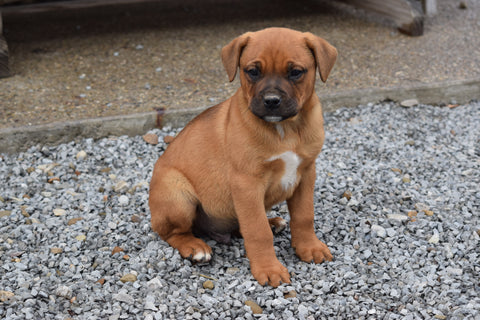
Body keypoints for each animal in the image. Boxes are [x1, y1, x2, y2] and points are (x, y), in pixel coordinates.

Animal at [150, 28, 338, 288]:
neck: (285, 129)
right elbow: (258, 231)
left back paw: (273, 222)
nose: (271, 101)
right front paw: (268, 269)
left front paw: (309, 247)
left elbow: (304, 216)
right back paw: (195, 247)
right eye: (253, 71)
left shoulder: (306, 173)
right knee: (171, 232)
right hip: (177, 193)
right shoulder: (247, 183)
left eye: (296, 72)